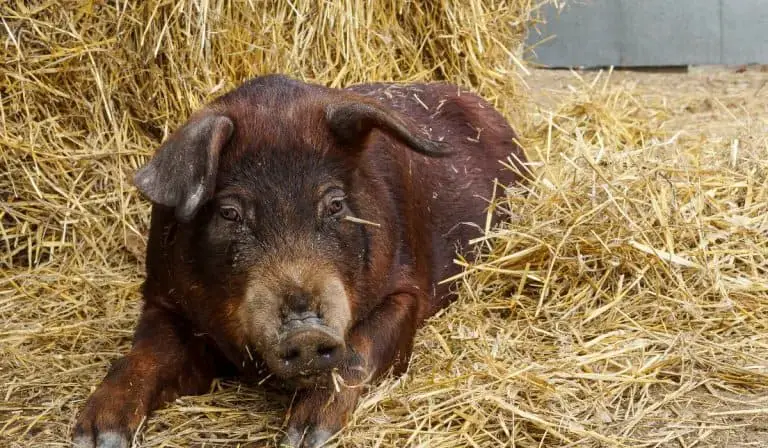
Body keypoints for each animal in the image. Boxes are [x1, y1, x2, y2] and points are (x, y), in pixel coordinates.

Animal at [72, 74, 528, 448]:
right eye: (230, 213)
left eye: (336, 204)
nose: (305, 331)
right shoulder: (162, 299)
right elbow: (144, 355)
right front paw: (95, 437)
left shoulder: (408, 289)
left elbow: (360, 348)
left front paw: (306, 435)